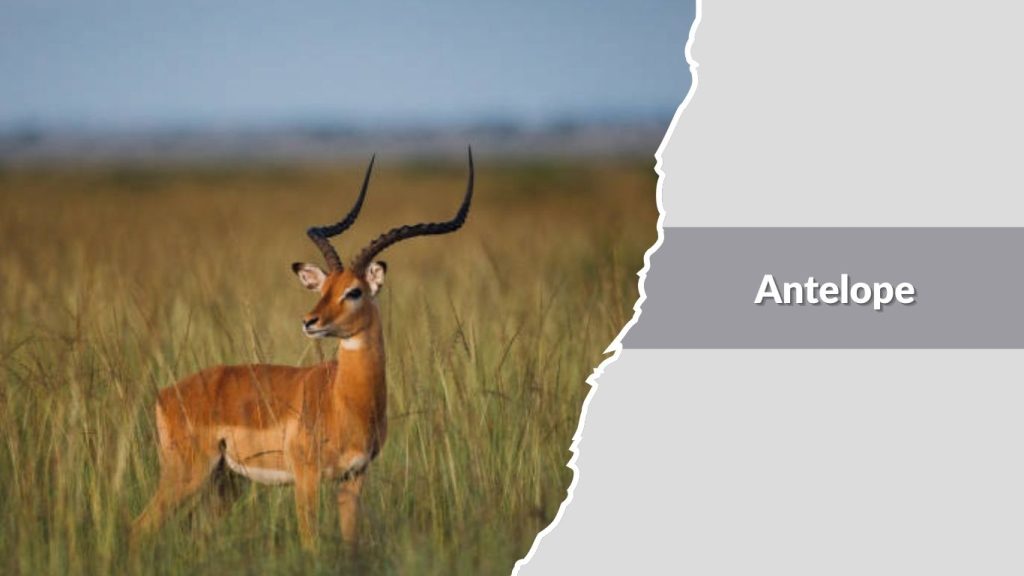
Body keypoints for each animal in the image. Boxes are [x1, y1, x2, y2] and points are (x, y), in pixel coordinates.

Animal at [131, 149, 474, 550]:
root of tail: (166, 393)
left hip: (225, 480)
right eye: (323, 288)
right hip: (188, 473)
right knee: (139, 527)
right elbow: (310, 543)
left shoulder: (354, 478)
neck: (345, 399)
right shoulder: (306, 478)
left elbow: (350, 543)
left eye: (353, 291)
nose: (310, 321)